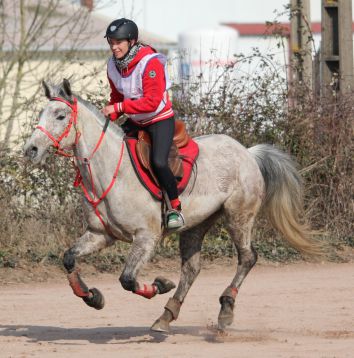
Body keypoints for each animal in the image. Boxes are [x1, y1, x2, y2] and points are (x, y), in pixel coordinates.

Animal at [23, 79, 320, 332]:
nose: (31, 150)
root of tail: (247, 152)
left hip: (238, 216)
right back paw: (166, 316)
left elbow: (127, 279)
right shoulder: (100, 235)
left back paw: (226, 310)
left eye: (61, 116)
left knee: (247, 258)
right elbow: (69, 258)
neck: (111, 171)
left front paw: (160, 284)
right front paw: (92, 297)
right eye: (41, 113)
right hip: (197, 225)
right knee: (191, 268)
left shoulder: (146, 237)